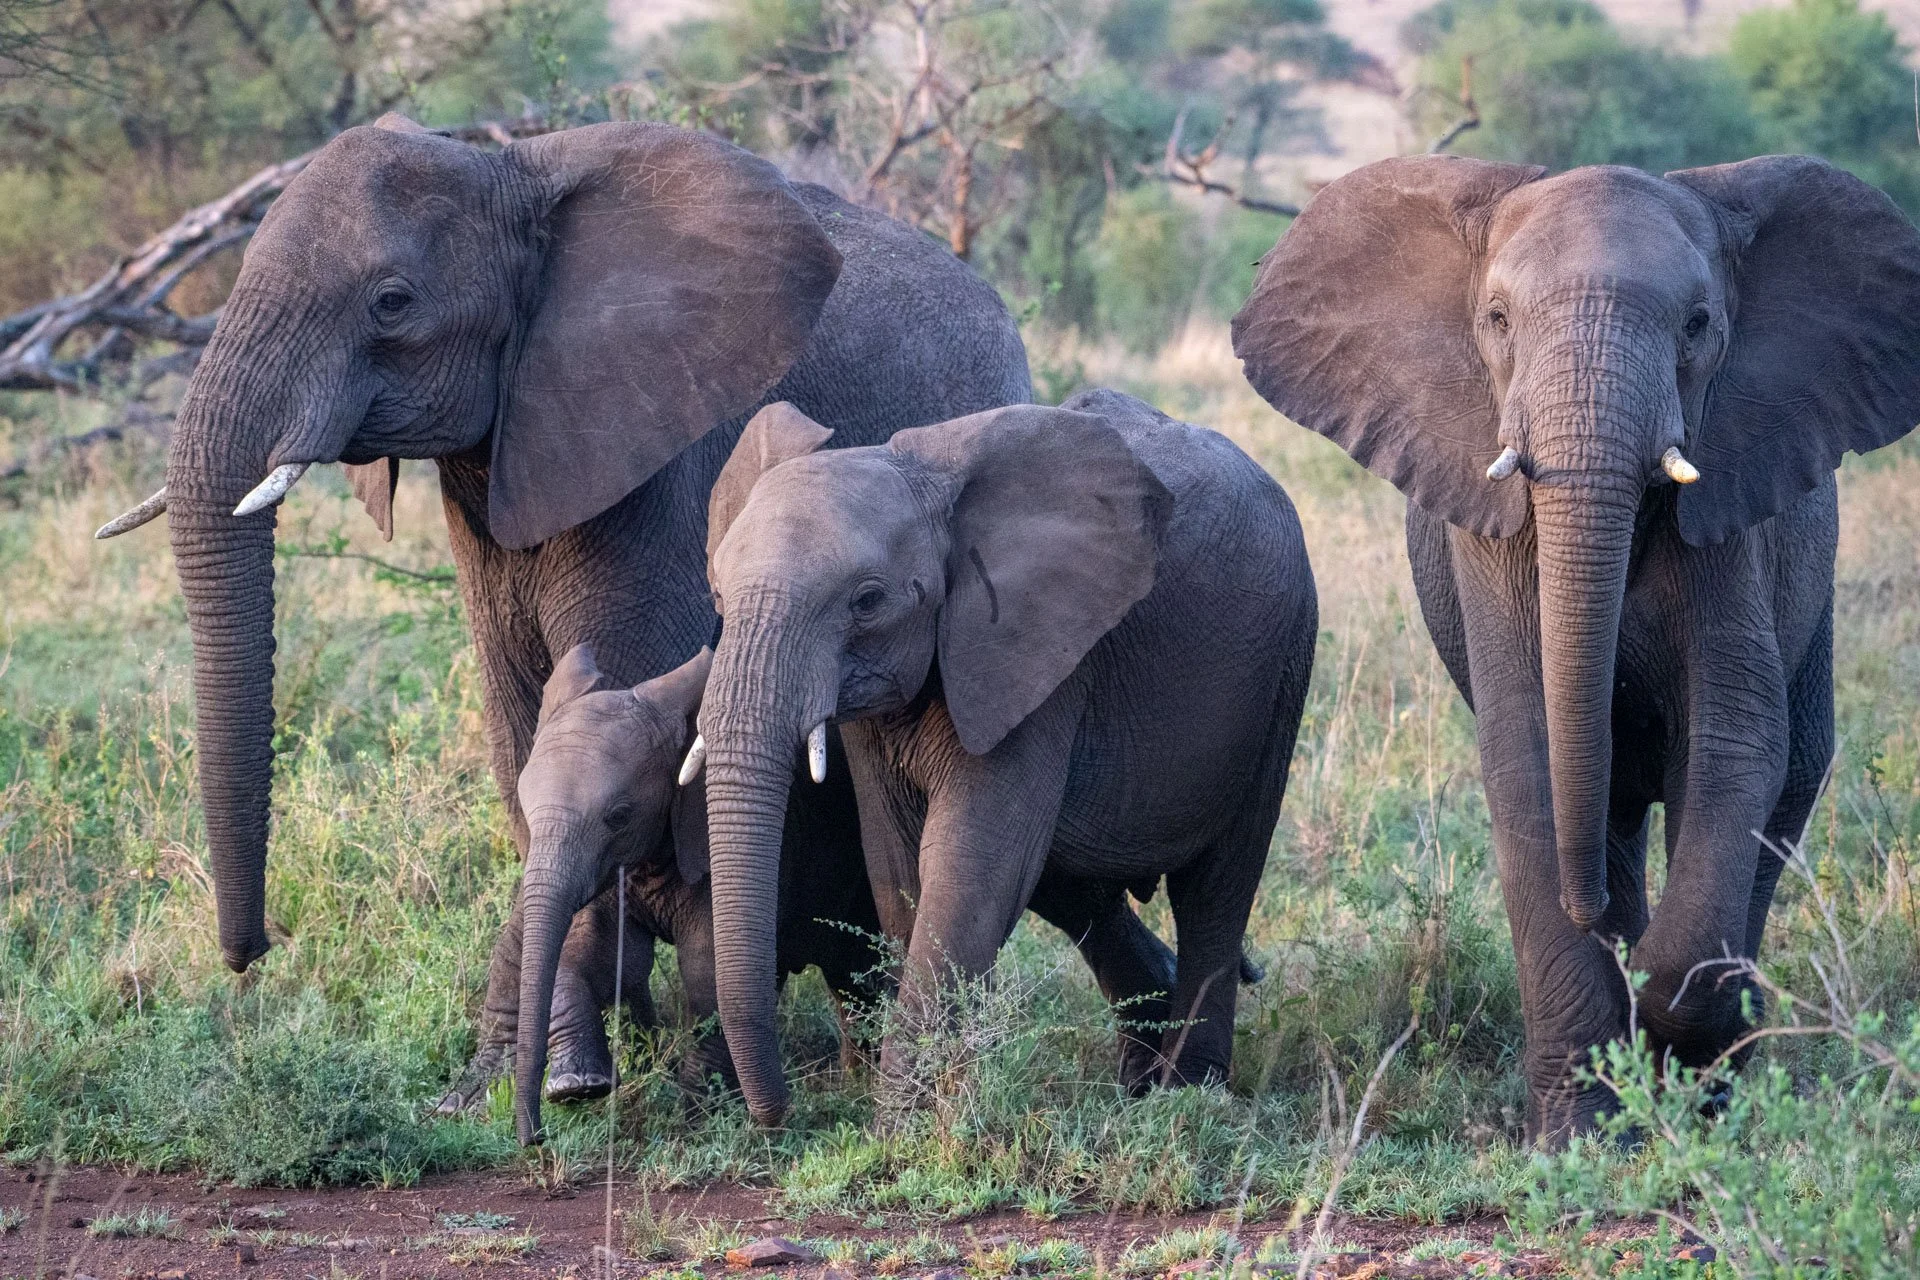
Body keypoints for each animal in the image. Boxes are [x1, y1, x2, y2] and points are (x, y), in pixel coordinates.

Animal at [94, 116, 1032, 1099]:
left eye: (391, 303)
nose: (247, 958)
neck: (509, 173)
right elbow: (521, 739)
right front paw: (511, 1077)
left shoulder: (662, 447)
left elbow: (613, 701)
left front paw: (562, 1070)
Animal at [685, 389, 1319, 1126]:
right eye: (717, 595)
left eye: (867, 601)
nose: (783, 1114)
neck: (917, 471)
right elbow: (899, 868)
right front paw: (944, 1102)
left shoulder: (1037, 655)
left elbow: (970, 866)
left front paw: (900, 1126)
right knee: (1077, 887)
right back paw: (1139, 1080)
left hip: (1282, 670)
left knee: (1215, 889)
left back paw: (1189, 1096)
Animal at [1230, 153, 1920, 1142]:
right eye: (1496, 320)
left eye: (1697, 325)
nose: (1582, 903)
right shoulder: (1486, 524)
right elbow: (1532, 757)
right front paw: (1579, 1135)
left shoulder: (1735, 513)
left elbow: (1732, 746)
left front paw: (1666, 1021)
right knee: (1612, 810)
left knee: (1788, 779)